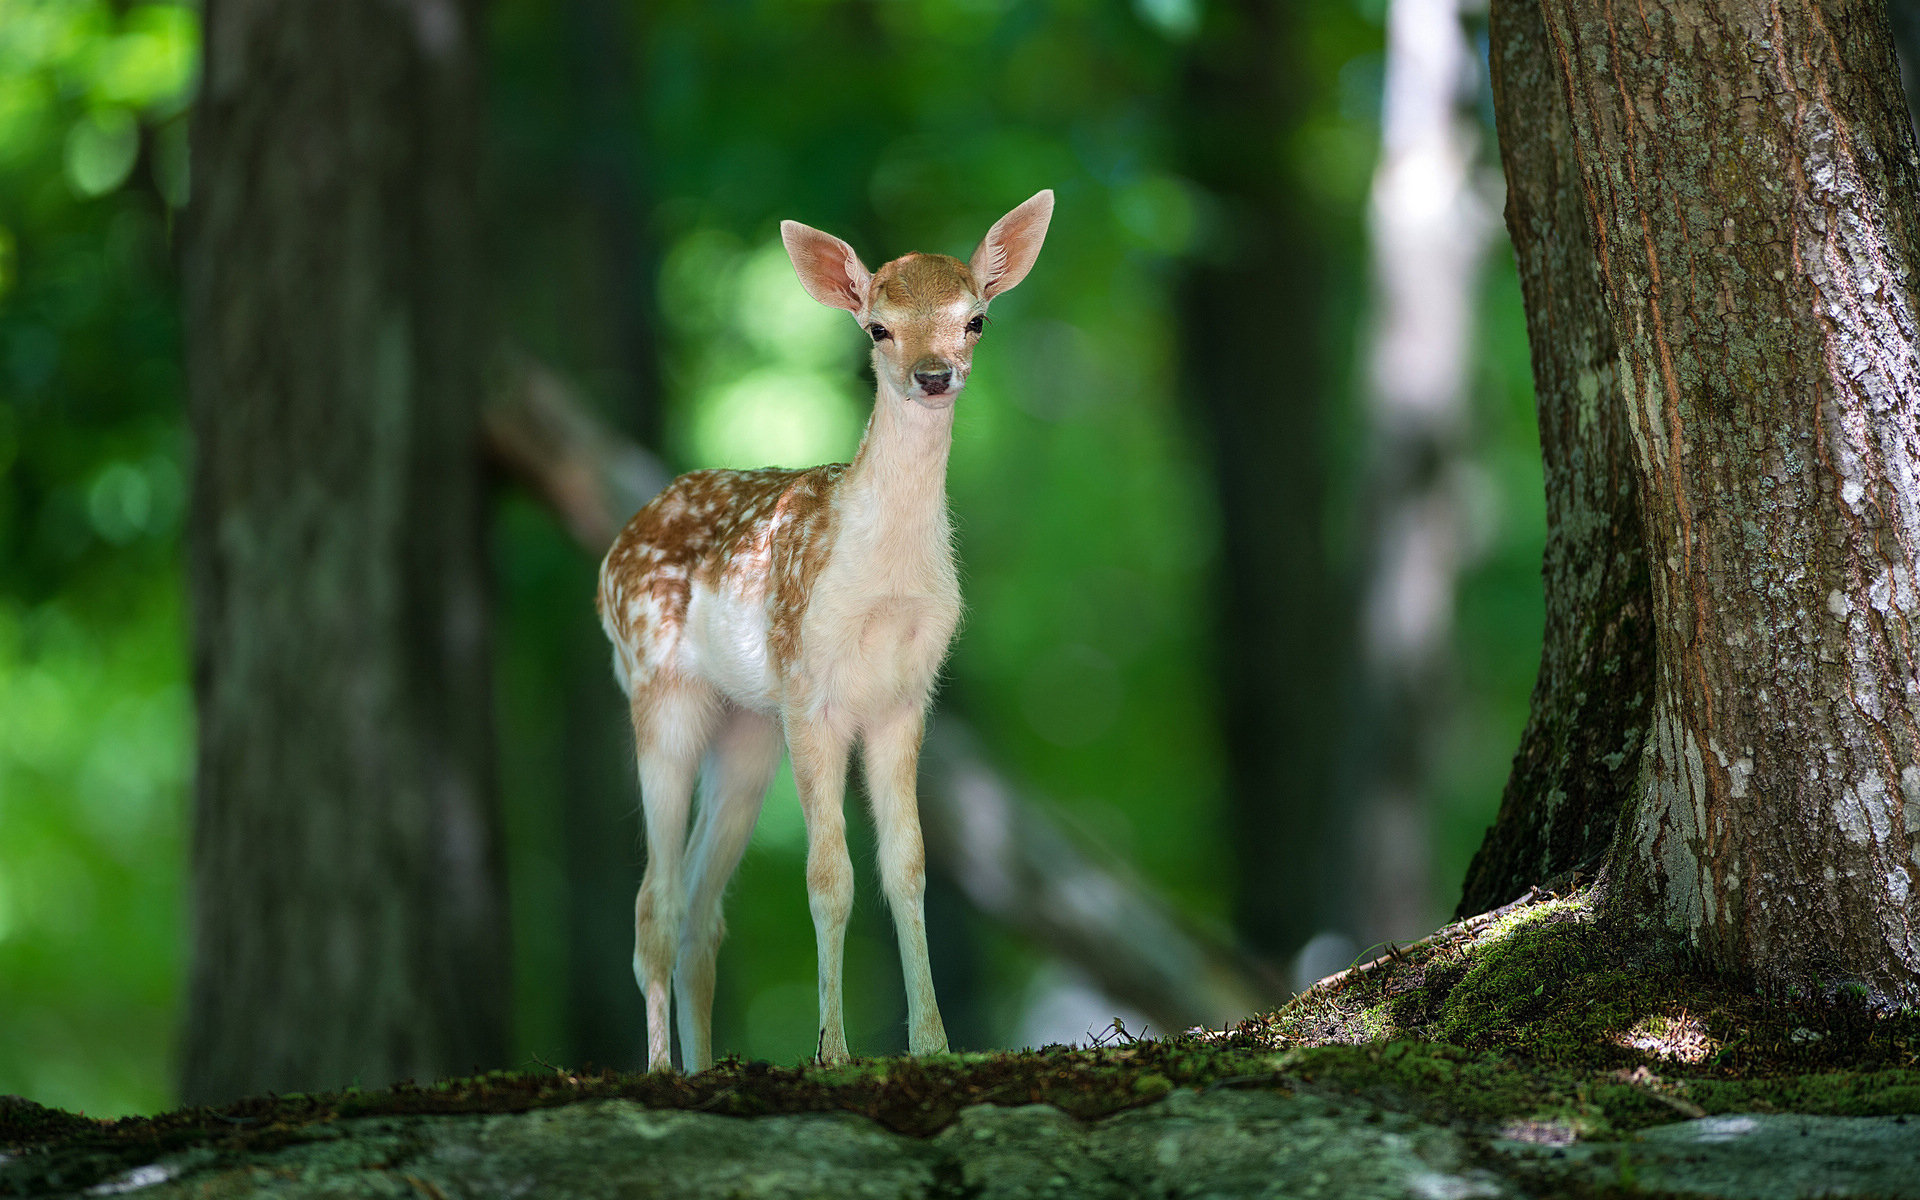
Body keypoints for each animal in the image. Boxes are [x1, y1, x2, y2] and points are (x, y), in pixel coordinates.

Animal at [596, 191, 1054, 1072]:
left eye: (975, 319)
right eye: (877, 327)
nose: (933, 375)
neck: (883, 581)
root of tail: (613, 551)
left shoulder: (906, 697)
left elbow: (906, 868)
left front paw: (934, 1045)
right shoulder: (811, 690)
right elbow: (828, 876)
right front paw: (834, 1051)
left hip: (747, 726)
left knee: (702, 909)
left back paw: (704, 1064)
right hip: (660, 688)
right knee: (651, 901)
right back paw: (663, 1068)